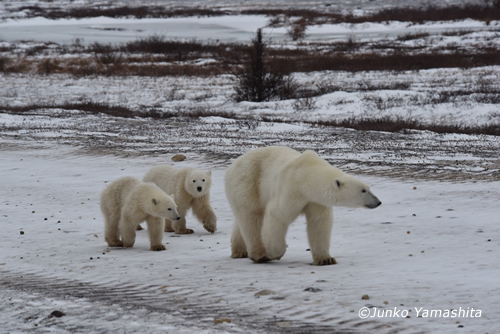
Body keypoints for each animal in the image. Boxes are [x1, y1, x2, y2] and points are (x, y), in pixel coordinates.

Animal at [225, 146, 380, 266]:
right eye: (363, 190)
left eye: (368, 188)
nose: (378, 202)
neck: (307, 175)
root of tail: (232, 166)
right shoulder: (291, 189)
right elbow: (277, 215)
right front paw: (275, 253)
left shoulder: (315, 200)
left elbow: (319, 223)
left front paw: (325, 259)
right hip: (247, 183)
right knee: (251, 217)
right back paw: (260, 255)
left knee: (243, 219)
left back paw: (240, 251)